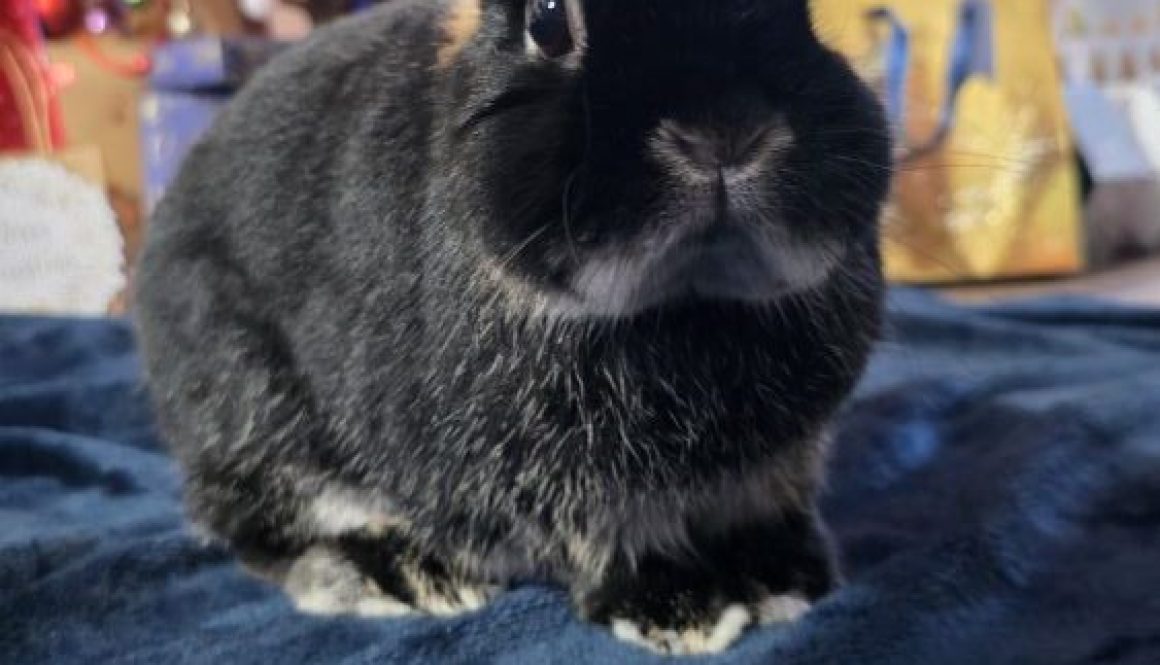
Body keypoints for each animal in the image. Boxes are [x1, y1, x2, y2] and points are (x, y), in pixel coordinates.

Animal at [134, 0, 892, 655]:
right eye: (548, 22)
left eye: (805, 13)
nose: (725, 131)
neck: (689, 305)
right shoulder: (571, 485)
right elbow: (622, 539)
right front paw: (683, 609)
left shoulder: (773, 470)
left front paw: (781, 580)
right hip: (249, 396)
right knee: (256, 523)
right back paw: (396, 573)